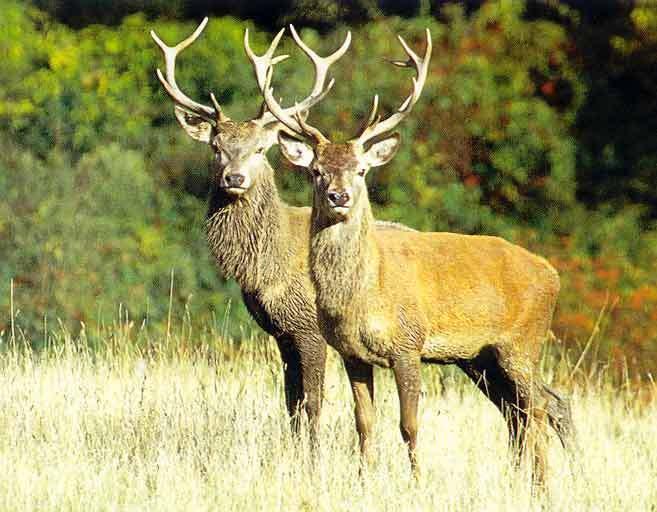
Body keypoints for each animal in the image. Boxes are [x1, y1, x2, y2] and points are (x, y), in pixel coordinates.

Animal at [152, 20, 410, 442]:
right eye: (215, 147)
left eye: (260, 149)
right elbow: (290, 405)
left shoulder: (309, 327)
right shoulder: (281, 333)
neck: (266, 268)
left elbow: (313, 404)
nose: (234, 177)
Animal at [258, 30, 572, 482]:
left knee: (539, 409)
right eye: (316, 171)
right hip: (483, 356)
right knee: (520, 413)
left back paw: (543, 485)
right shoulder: (351, 353)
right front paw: (364, 478)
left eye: (362, 170)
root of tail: (552, 274)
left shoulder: (408, 343)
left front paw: (417, 481)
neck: (363, 294)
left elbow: (409, 424)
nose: (339, 196)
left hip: (523, 342)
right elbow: (364, 422)